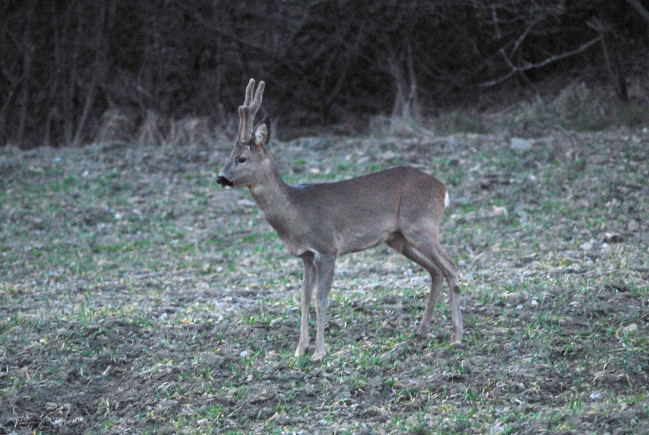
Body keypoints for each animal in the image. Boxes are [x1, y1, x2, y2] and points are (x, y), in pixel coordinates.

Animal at [219, 78, 460, 362]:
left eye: (242, 159)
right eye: (228, 157)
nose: (221, 178)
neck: (295, 212)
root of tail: (443, 188)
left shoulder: (327, 248)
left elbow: (320, 299)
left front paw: (319, 352)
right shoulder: (306, 256)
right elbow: (303, 298)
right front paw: (299, 349)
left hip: (422, 226)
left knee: (452, 268)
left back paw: (456, 337)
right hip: (399, 238)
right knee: (436, 271)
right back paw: (422, 331)